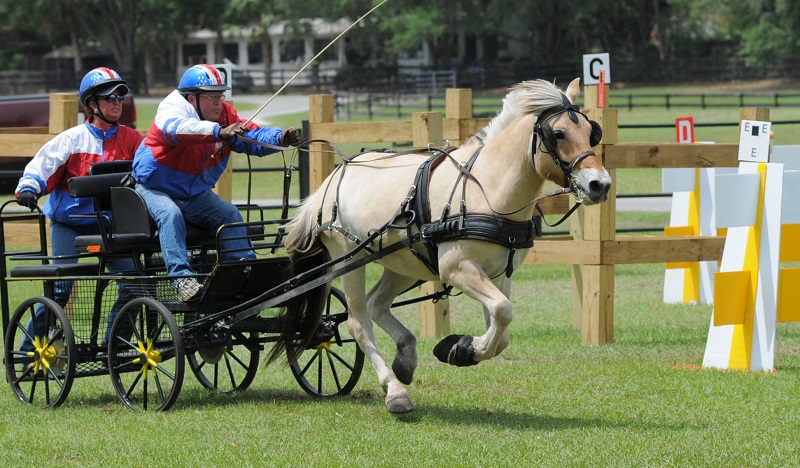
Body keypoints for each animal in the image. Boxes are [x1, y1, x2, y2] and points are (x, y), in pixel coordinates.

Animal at [269, 78, 612, 414]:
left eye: (591, 132)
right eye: (558, 134)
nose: (600, 184)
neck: (488, 189)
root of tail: (330, 181)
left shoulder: (500, 273)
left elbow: (501, 327)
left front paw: (461, 348)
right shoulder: (456, 267)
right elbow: (503, 310)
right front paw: (465, 348)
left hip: (404, 262)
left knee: (376, 303)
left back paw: (405, 358)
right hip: (347, 259)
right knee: (357, 321)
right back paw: (395, 392)